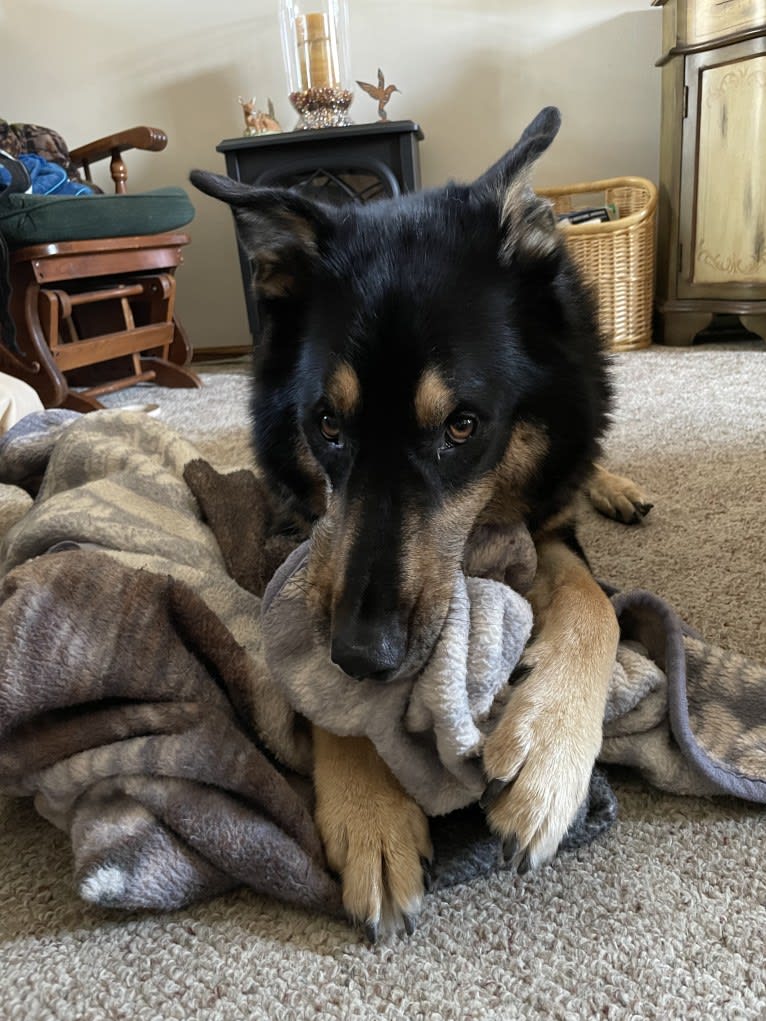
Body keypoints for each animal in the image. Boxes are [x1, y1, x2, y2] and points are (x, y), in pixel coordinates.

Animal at [192, 105, 653, 939]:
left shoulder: (544, 521)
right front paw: (371, 811)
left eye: (463, 427)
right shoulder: (303, 533)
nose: (363, 653)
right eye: (327, 425)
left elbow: (595, 608)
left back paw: (614, 485)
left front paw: (549, 752)